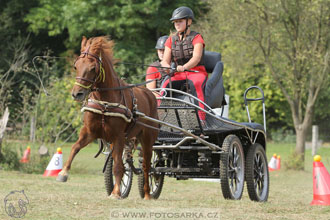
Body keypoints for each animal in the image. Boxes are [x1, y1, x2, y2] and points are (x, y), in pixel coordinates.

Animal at [56, 36, 159, 199]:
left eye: (93, 68)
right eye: (76, 66)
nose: (77, 94)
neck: (105, 102)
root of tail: (151, 95)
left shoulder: (119, 137)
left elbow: (118, 166)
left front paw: (116, 192)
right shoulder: (90, 132)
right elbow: (75, 148)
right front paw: (63, 173)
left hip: (148, 138)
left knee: (147, 166)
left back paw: (148, 193)